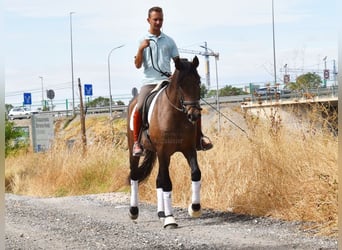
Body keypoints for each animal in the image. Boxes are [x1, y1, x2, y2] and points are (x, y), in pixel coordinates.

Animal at [128, 56, 203, 229]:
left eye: (199, 81)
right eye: (181, 84)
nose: (194, 115)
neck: (176, 114)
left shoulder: (189, 149)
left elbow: (196, 173)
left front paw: (194, 208)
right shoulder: (163, 152)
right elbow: (167, 183)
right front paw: (170, 219)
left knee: (158, 180)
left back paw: (161, 213)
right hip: (135, 151)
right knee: (134, 176)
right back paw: (134, 211)